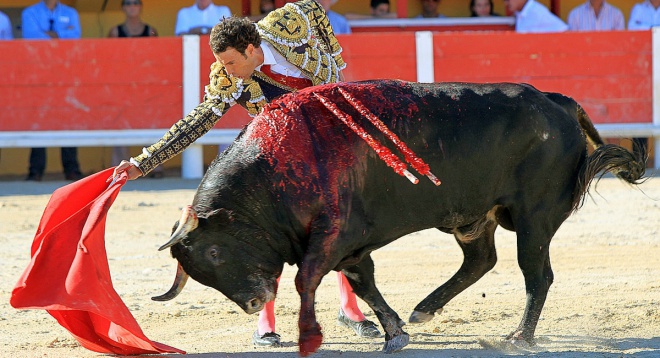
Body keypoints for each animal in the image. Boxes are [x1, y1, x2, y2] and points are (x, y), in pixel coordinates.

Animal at [151, 79, 644, 356]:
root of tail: (557, 101)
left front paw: (313, 337)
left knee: (536, 274)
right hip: (473, 217)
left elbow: (308, 279)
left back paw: (518, 338)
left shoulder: (333, 235)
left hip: (533, 218)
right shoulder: (348, 247)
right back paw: (425, 309)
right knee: (481, 260)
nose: (253, 303)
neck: (277, 170)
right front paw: (394, 332)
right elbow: (363, 284)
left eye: (216, 251)